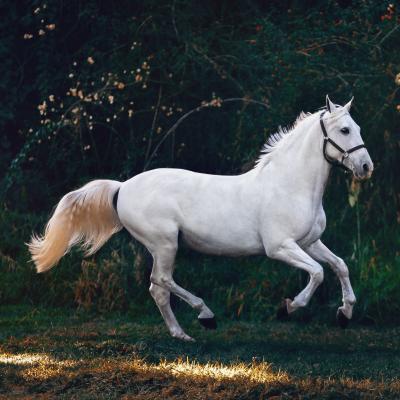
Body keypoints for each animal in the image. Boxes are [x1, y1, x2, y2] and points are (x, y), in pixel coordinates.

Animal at [28, 96, 372, 340]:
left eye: (357, 128)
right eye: (344, 130)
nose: (366, 167)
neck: (290, 185)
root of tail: (122, 187)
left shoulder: (310, 242)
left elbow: (339, 266)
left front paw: (345, 314)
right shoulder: (280, 247)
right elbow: (317, 273)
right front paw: (288, 308)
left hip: (163, 246)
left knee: (158, 288)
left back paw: (182, 334)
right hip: (165, 243)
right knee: (161, 281)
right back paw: (205, 316)